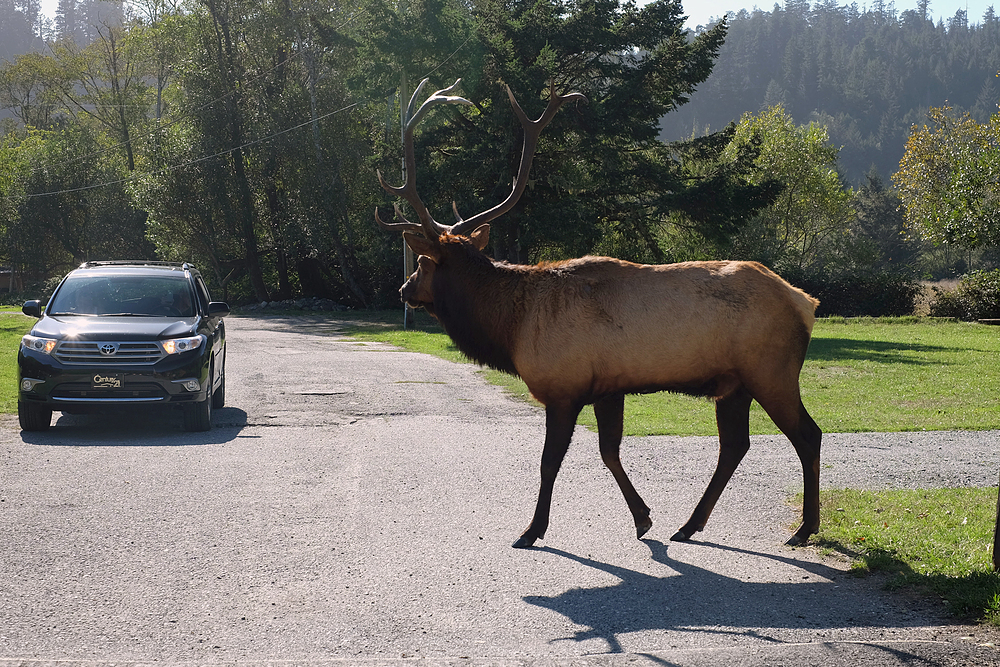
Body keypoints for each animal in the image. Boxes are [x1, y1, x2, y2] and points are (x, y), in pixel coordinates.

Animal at [376, 78, 820, 548]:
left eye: (422, 263)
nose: (403, 289)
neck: (511, 329)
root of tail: (806, 303)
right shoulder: (608, 388)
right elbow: (609, 451)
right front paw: (643, 518)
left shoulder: (563, 387)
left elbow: (549, 461)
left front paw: (532, 530)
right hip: (733, 384)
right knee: (734, 446)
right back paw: (688, 525)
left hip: (771, 371)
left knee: (807, 434)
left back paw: (804, 529)